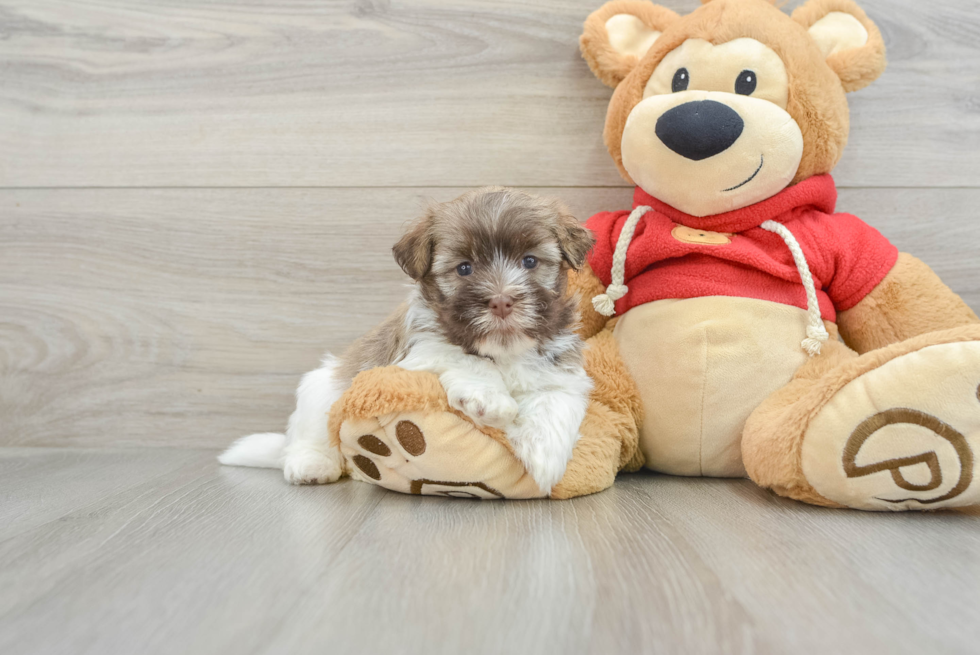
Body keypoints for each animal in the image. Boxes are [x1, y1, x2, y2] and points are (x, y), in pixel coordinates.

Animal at [218, 187, 592, 494]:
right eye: (464, 268)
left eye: (530, 261)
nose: (501, 301)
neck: (504, 350)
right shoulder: (416, 350)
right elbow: (462, 357)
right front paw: (491, 399)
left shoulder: (561, 365)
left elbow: (557, 397)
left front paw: (544, 454)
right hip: (319, 391)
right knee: (309, 437)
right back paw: (312, 464)